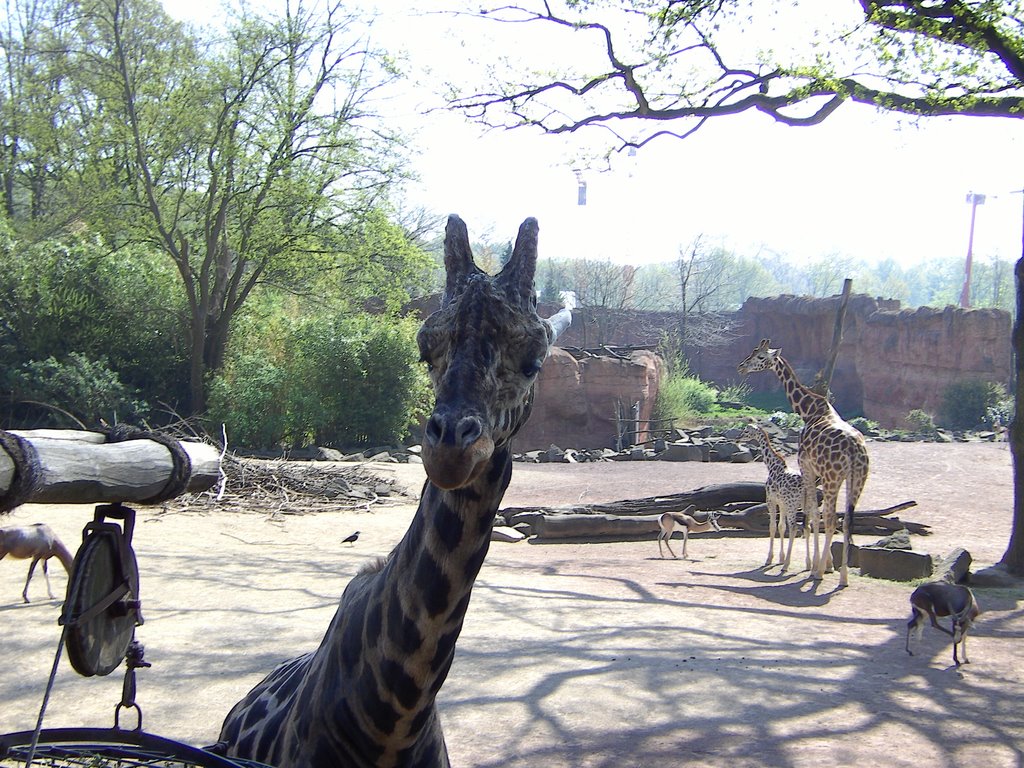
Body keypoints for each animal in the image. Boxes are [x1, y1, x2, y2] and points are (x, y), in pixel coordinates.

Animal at [737, 423, 806, 573]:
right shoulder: (781, 503)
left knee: (794, 528)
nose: (738, 439)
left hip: (793, 506)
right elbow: (781, 526)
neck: (772, 465)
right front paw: (780, 558)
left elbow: (773, 526)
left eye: (746, 431)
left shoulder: (771, 500)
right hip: (805, 505)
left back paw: (787, 565)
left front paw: (770, 559)